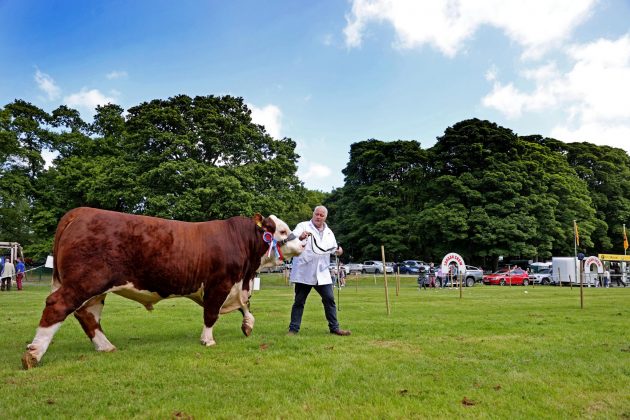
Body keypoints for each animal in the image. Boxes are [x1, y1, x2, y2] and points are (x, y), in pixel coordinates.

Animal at [22, 207, 304, 368]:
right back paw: (34, 354)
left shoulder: (237, 286)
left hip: (95, 288)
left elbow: (246, 308)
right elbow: (211, 314)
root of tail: (79, 212)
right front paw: (208, 340)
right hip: (86, 280)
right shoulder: (219, 283)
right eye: (281, 231)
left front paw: (247, 326)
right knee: (58, 306)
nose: (302, 242)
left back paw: (105, 346)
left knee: (87, 315)